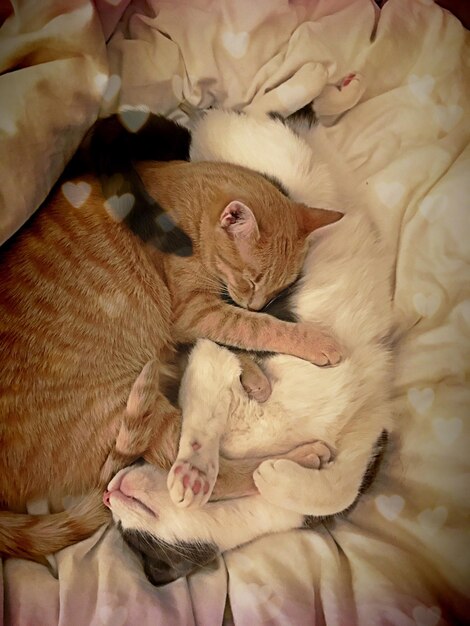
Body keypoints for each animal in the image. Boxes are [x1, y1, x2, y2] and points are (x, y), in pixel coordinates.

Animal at [0, 158, 342, 560]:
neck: (186, 213)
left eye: (278, 289)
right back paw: (299, 460)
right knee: (213, 477)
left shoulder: (196, 320)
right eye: (252, 279)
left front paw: (253, 374)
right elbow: (255, 327)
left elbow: (233, 334)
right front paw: (311, 340)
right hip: (129, 406)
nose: (256, 302)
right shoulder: (193, 310)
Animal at [104, 103, 394, 584]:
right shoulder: (206, 350)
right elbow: (207, 411)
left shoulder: (371, 435)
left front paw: (276, 476)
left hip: (281, 167)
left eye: (138, 542)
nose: (108, 496)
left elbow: (339, 490)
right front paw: (199, 472)